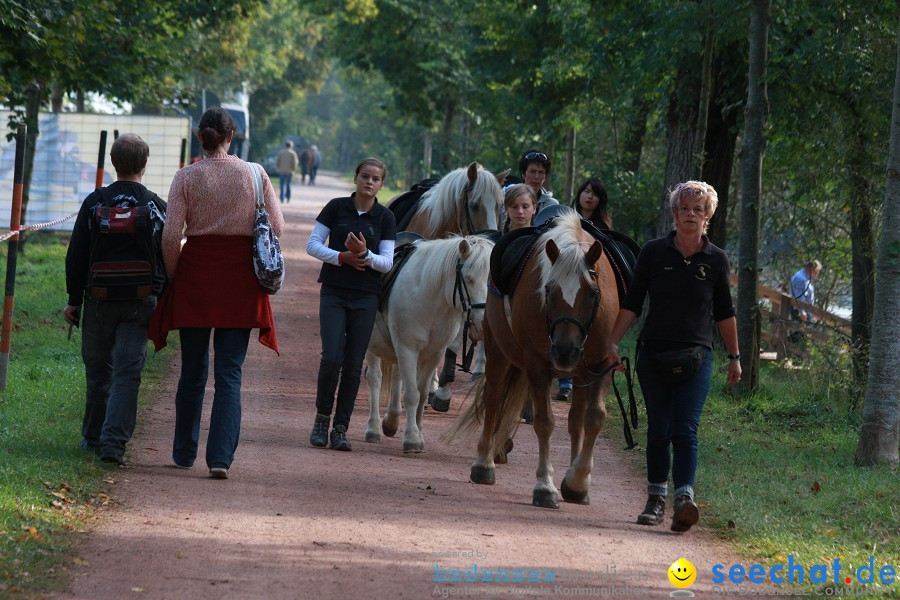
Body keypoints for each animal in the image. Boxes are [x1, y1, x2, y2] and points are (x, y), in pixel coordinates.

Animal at [362, 234, 496, 450]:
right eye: (469, 279)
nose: (483, 323)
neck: (431, 300)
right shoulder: (408, 349)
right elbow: (412, 394)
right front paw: (411, 437)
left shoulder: (434, 353)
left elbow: (422, 393)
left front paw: (418, 433)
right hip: (373, 346)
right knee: (375, 379)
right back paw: (373, 428)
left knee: (398, 376)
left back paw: (392, 420)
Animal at [444, 213, 616, 508]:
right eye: (548, 290)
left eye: (592, 293)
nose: (565, 350)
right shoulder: (537, 365)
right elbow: (545, 422)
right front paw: (545, 486)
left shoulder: (601, 364)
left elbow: (593, 418)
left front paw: (578, 482)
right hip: (498, 350)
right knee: (493, 398)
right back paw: (484, 464)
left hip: (579, 373)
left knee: (576, 418)